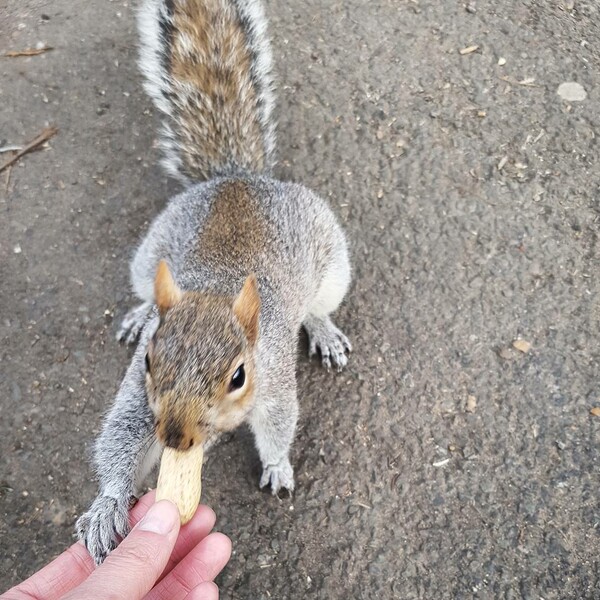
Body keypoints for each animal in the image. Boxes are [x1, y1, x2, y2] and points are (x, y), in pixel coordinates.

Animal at [77, 0, 354, 564]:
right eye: (149, 361)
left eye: (239, 376)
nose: (176, 436)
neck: (217, 296)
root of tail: (233, 178)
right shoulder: (140, 397)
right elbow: (122, 434)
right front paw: (108, 504)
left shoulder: (274, 381)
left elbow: (278, 424)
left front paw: (277, 466)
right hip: (151, 251)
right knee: (147, 287)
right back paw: (140, 311)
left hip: (334, 263)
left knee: (320, 303)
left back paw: (323, 329)